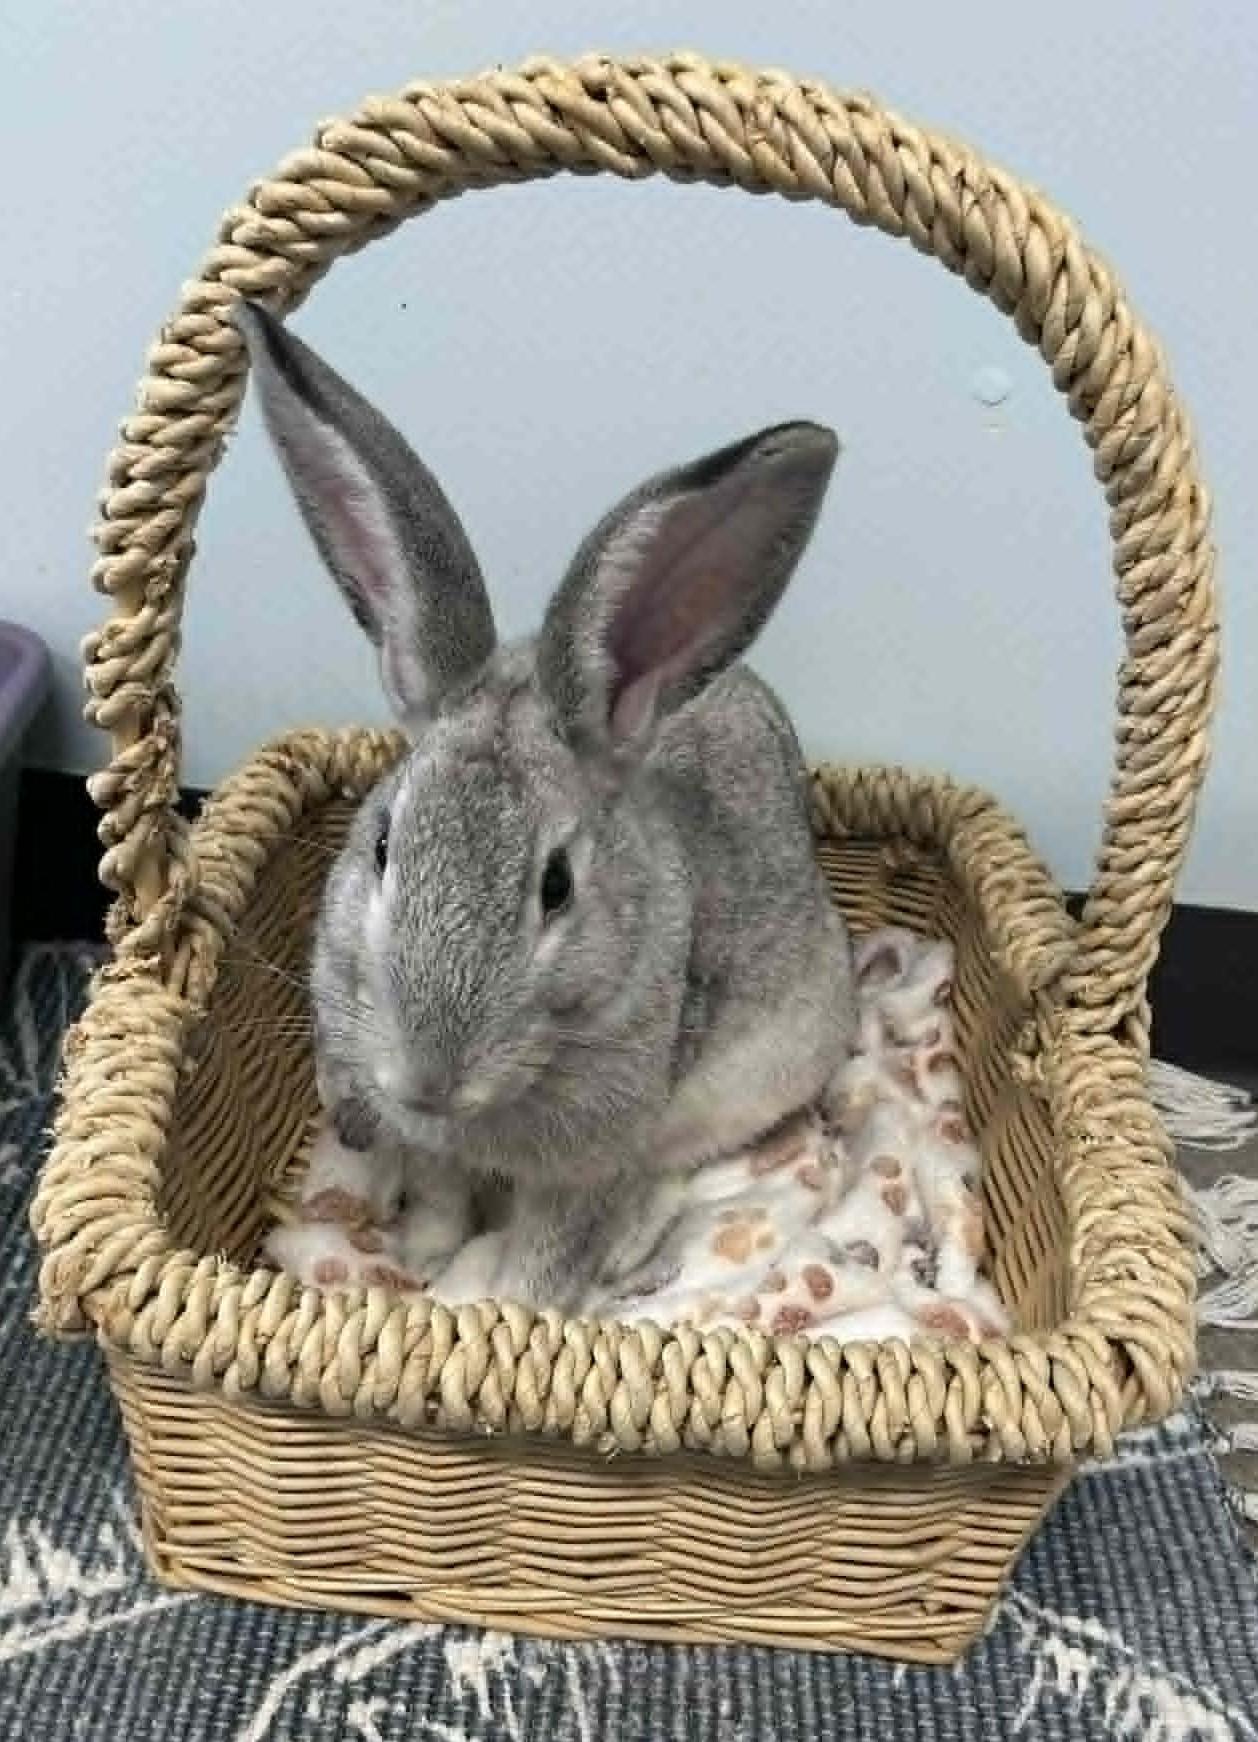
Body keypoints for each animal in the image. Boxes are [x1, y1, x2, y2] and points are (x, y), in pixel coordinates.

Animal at [238, 299, 856, 1312]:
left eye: (557, 887)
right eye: (381, 845)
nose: (427, 1079)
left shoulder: (591, 1159)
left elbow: (546, 1257)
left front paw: (492, 1310)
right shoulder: (430, 1143)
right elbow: (440, 1195)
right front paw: (422, 1261)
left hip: (755, 1075)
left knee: (677, 1169)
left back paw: (628, 1250)